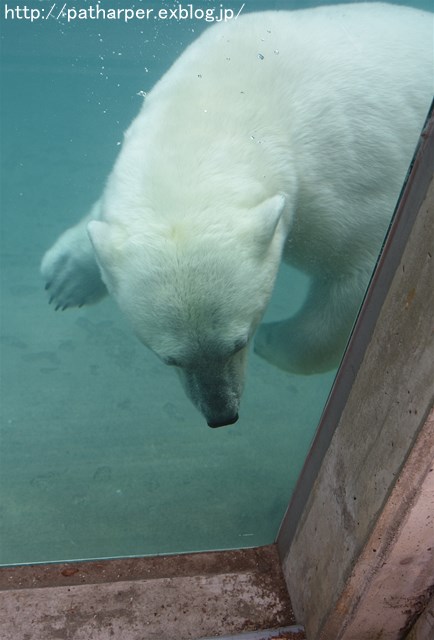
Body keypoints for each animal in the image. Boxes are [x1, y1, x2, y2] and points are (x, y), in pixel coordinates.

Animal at [39, 5, 430, 428]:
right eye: (169, 358)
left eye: (238, 342)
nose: (221, 415)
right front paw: (65, 278)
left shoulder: (343, 180)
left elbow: (355, 275)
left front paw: (274, 340)